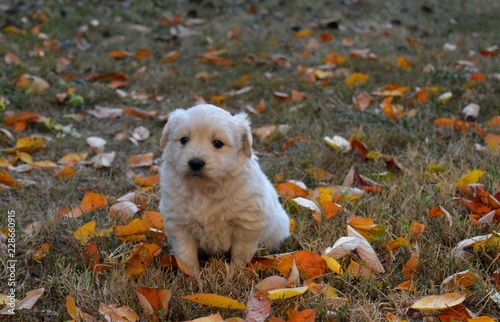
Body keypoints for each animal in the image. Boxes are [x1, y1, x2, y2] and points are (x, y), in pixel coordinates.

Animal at [160, 104, 290, 272]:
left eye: (218, 143)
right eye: (184, 140)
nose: (195, 163)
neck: (205, 188)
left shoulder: (247, 223)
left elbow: (240, 253)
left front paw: (234, 274)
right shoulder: (178, 224)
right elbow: (186, 256)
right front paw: (191, 276)